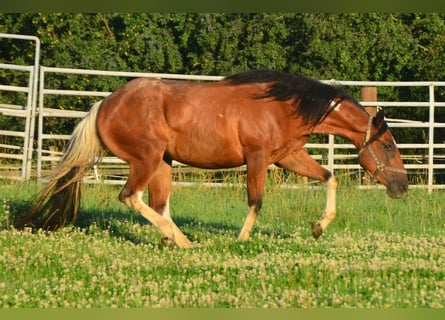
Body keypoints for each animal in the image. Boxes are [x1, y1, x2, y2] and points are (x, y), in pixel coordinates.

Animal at [15, 70, 408, 248]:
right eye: (389, 145)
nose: (402, 186)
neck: (283, 106)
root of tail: (103, 106)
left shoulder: (287, 156)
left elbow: (328, 176)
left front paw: (318, 227)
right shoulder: (257, 158)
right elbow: (256, 201)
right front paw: (241, 240)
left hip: (163, 164)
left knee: (158, 204)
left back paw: (177, 240)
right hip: (146, 159)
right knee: (131, 197)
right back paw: (179, 240)